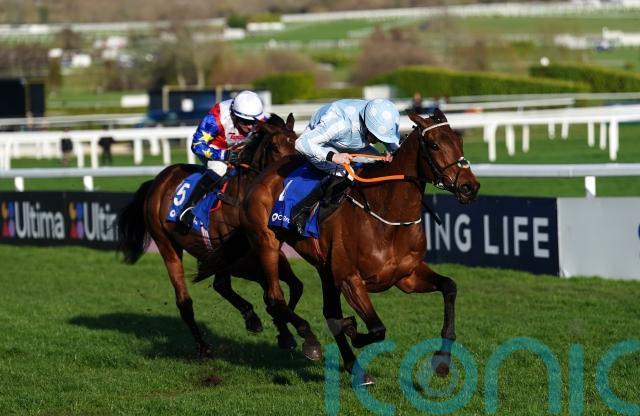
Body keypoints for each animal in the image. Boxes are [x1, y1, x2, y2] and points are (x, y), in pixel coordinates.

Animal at [116, 113, 305, 357]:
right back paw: (203, 346)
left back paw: (251, 318)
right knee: (185, 301)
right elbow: (268, 292)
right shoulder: (240, 259)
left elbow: (294, 286)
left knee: (221, 285)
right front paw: (281, 327)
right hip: (167, 245)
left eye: (296, 142)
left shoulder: (263, 252)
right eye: (274, 146)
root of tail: (158, 180)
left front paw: (284, 332)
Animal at [234, 109, 480, 382]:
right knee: (275, 297)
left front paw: (442, 360)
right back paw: (308, 340)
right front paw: (351, 327)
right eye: (435, 145)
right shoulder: (350, 278)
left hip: (324, 267)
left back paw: (352, 365)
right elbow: (376, 328)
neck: (388, 216)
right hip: (267, 244)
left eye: (459, 141)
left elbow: (449, 287)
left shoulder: (406, 276)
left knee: (325, 310)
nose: (470, 186)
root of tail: (263, 173)